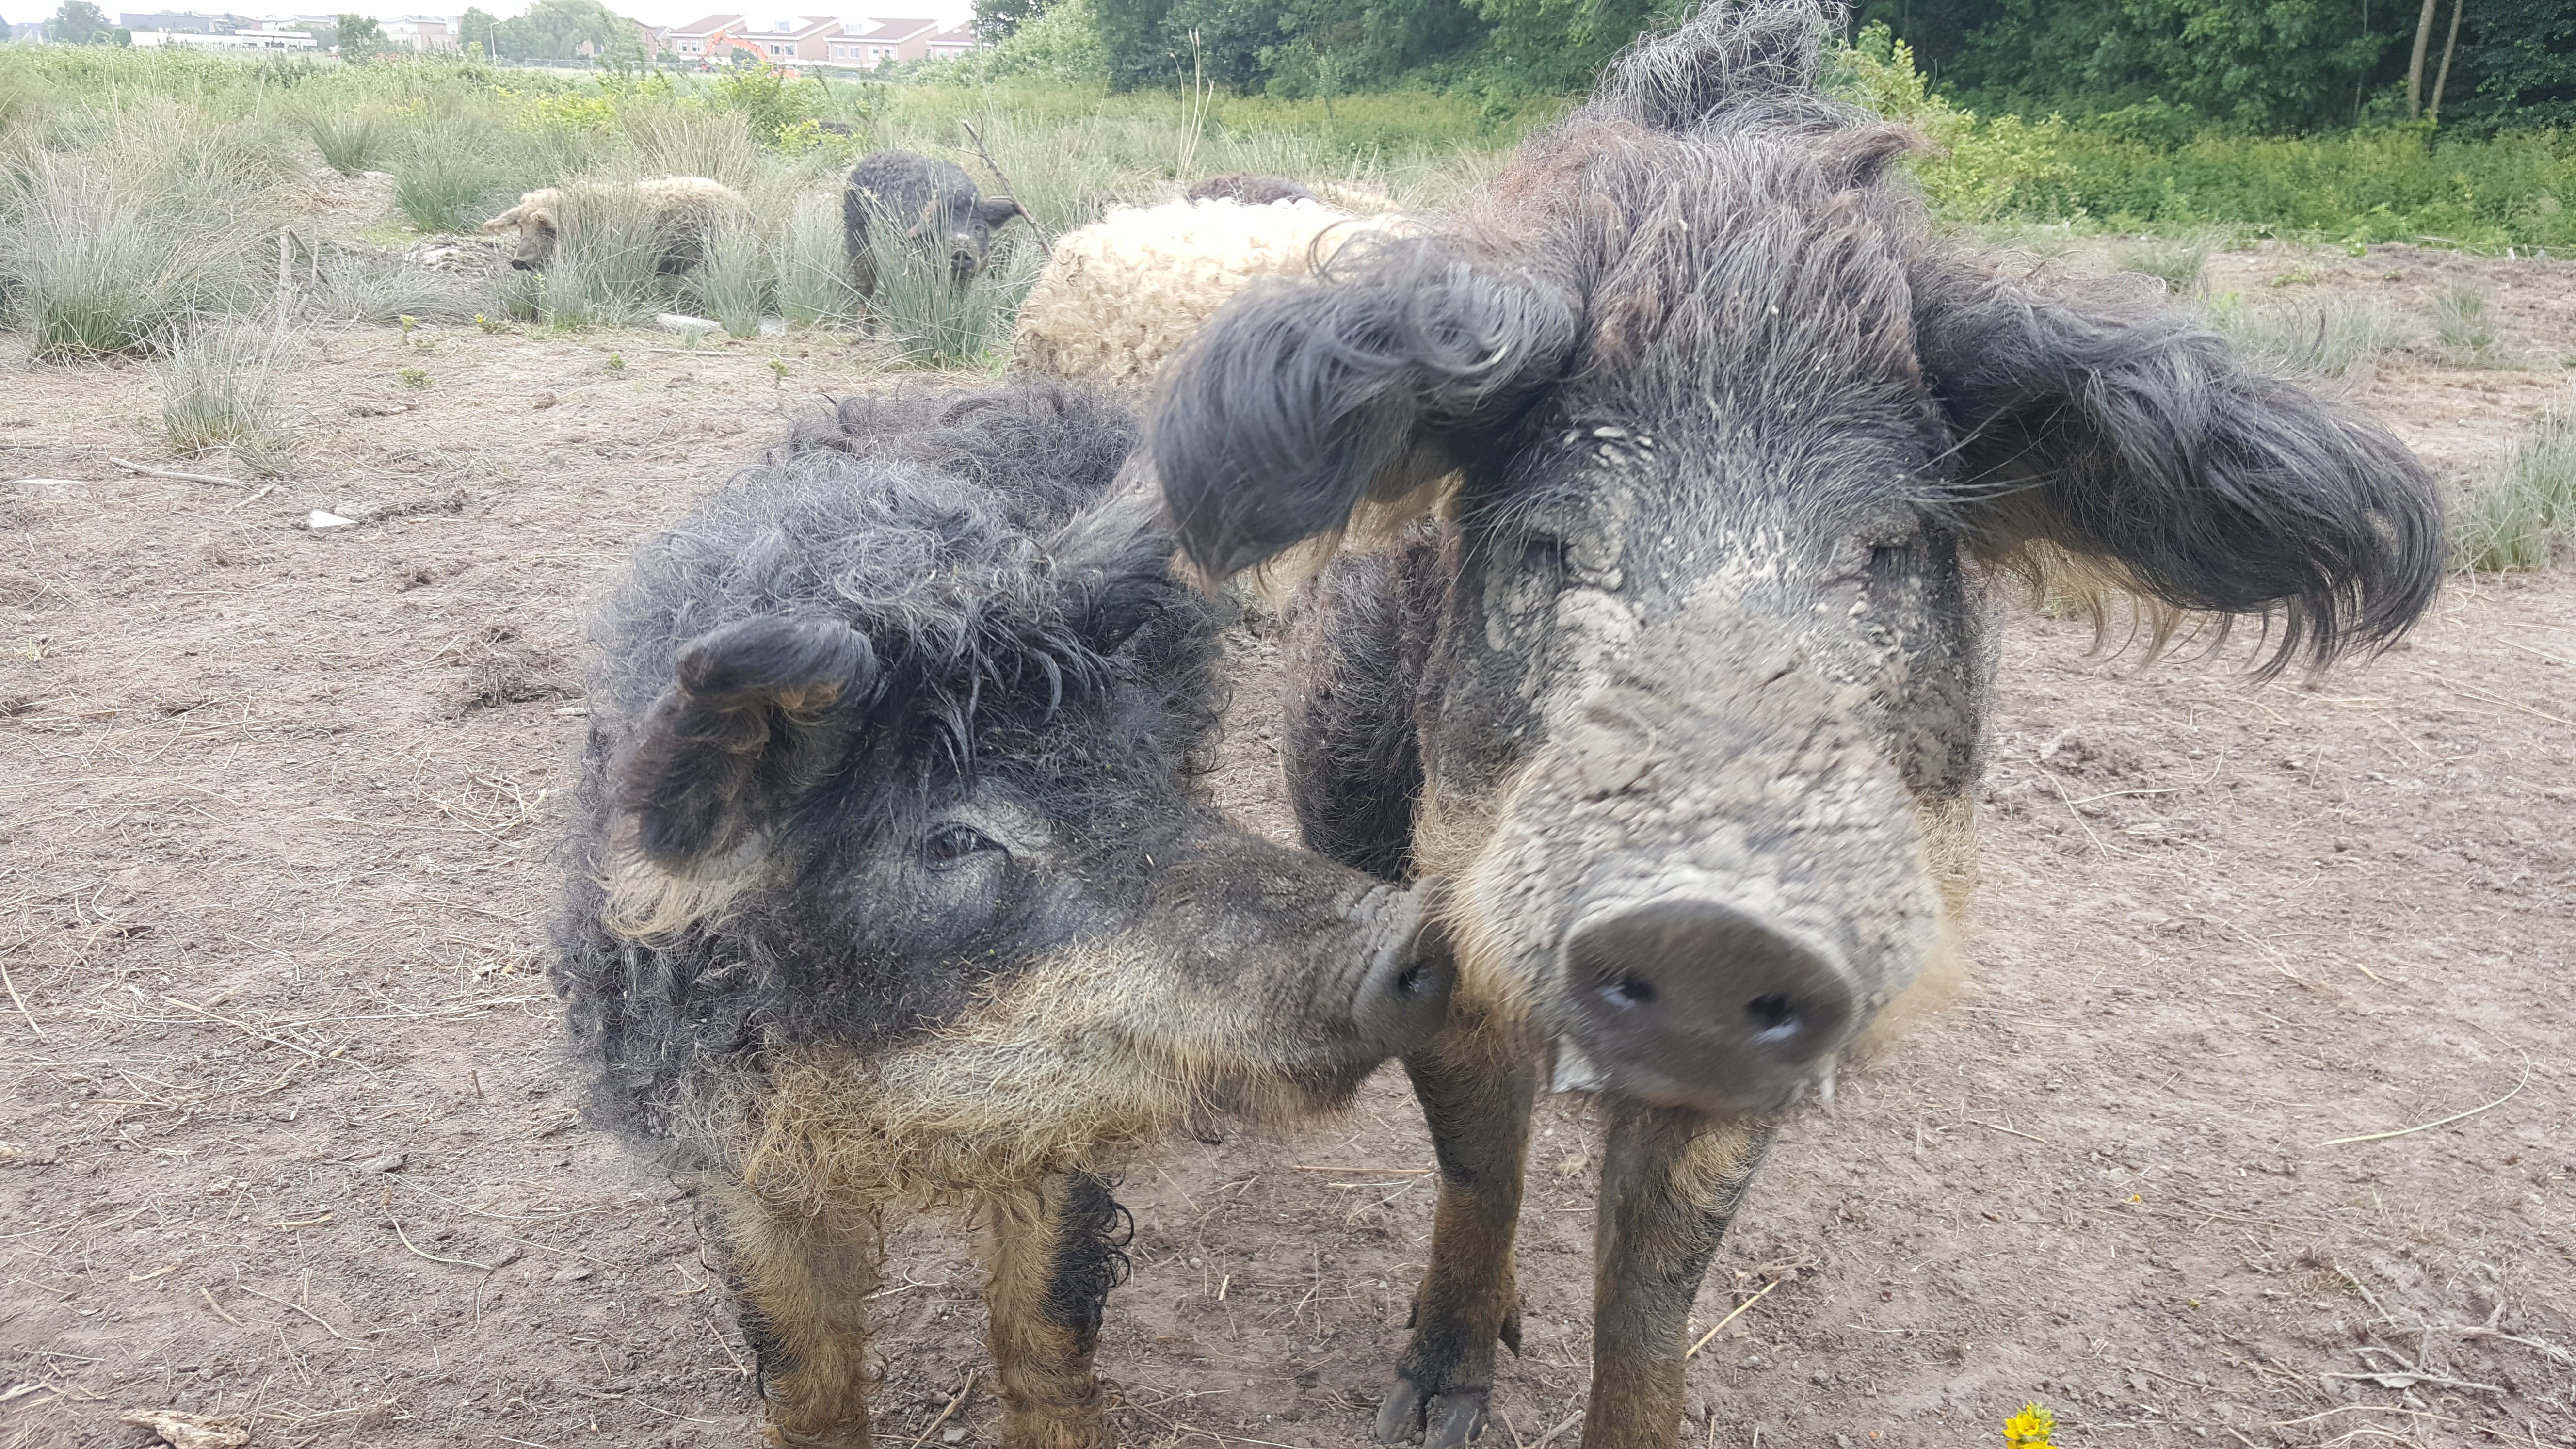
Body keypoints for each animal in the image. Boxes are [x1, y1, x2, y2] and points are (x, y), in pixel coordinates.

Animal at [554, 381, 1463, 1444]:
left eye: (1137, 767)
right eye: (951, 840)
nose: (1410, 932)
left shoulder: (1069, 1111)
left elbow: (1043, 1329)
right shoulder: (722, 1152)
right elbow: (802, 1371)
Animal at [1154, 2, 2452, 1444]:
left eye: (1886, 545)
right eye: (1550, 540)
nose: (1710, 922)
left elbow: (1656, 1278)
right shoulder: (1437, 911)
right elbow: (1481, 1160)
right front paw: (1429, 1408)